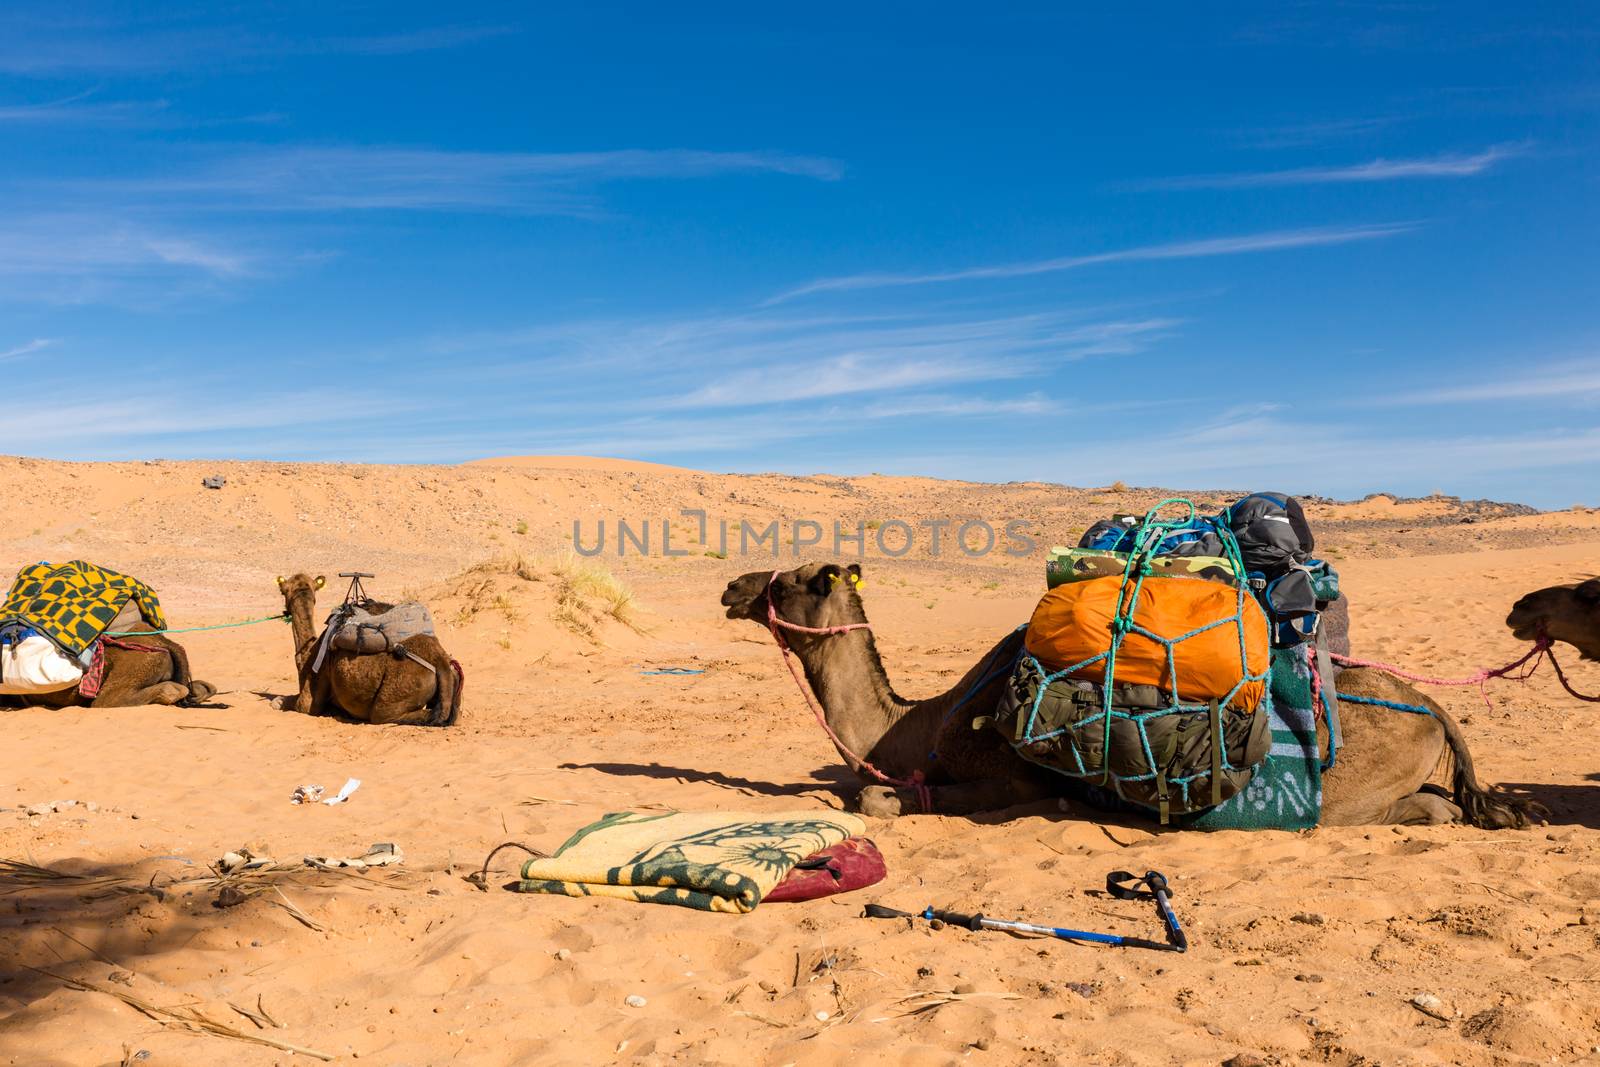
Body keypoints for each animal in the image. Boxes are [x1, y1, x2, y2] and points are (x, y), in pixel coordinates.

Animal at [275, 575, 460, 726]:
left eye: (282, 591)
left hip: (398, 691)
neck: (308, 654)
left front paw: (278, 701)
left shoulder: (309, 697)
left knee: (386, 714)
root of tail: (440, 661)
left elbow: (293, 703)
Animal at [720, 563, 1529, 831]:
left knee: (1427, 809)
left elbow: (878, 799)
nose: (732, 587)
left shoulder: (1007, 778)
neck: (911, 726)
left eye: (796, 579)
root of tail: (1432, 705)